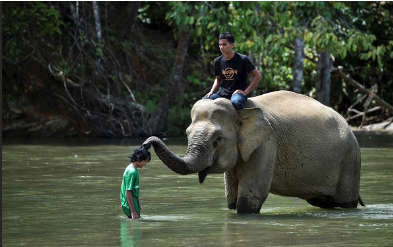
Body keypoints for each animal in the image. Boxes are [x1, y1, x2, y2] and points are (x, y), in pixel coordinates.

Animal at [142, 90, 364, 214]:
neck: (242, 110)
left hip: (350, 160)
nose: (145, 145)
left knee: (346, 203)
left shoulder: (267, 145)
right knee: (324, 203)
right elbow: (231, 201)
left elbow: (249, 198)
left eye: (217, 139)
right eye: (187, 134)